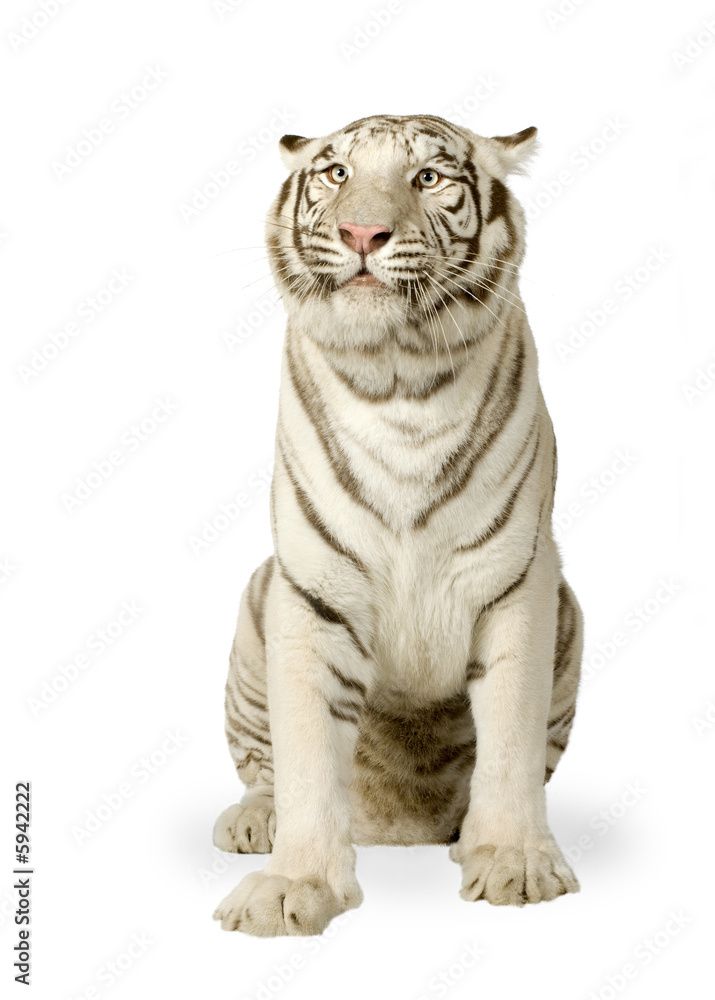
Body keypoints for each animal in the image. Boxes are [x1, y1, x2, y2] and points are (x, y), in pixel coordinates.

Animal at [212, 113, 583, 937]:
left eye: (428, 179)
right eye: (336, 173)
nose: (361, 232)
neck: (400, 381)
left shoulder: (518, 583)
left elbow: (511, 739)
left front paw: (514, 863)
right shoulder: (312, 592)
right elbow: (307, 753)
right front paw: (290, 887)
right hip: (257, 608)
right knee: (263, 765)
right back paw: (254, 822)